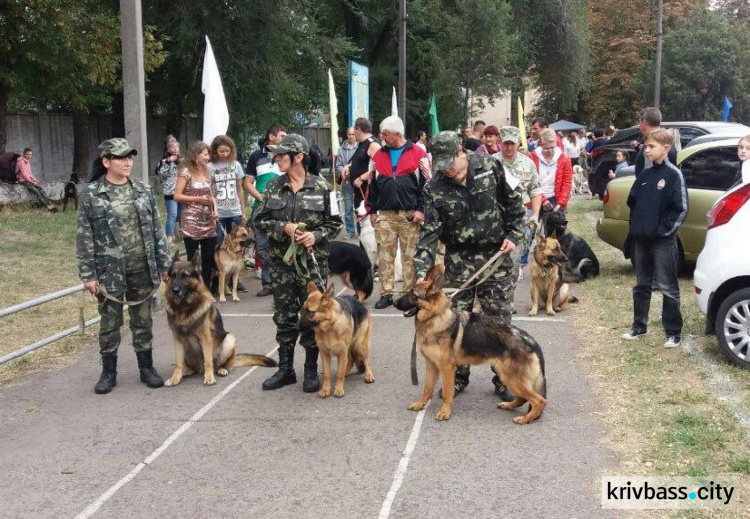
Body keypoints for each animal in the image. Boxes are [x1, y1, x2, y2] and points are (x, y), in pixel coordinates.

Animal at [165, 252, 280, 386]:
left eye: (185, 276)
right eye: (173, 275)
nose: (175, 290)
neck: (184, 308)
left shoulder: (206, 338)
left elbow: (208, 360)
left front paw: (209, 377)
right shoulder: (177, 339)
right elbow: (178, 363)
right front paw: (175, 378)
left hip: (229, 340)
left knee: (222, 364)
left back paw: (221, 369)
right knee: (189, 365)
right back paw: (188, 370)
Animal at [394, 266, 548, 424]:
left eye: (413, 296)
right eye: (409, 291)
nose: (394, 302)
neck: (435, 317)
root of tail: (532, 341)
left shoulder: (446, 367)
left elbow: (447, 392)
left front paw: (445, 412)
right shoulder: (431, 365)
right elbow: (427, 388)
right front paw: (420, 404)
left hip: (511, 378)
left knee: (540, 401)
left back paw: (525, 418)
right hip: (509, 376)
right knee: (524, 398)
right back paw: (509, 406)